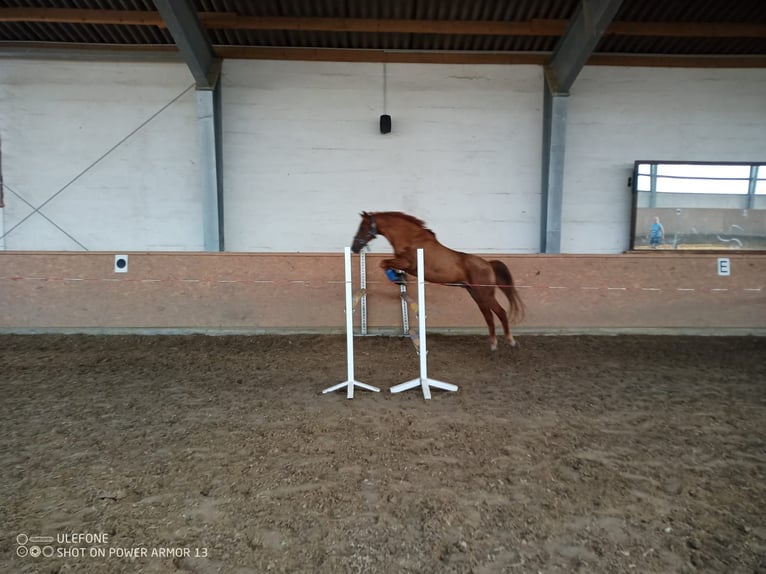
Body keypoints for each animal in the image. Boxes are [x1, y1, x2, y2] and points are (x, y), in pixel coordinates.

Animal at [352, 212, 520, 352]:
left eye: (362, 227)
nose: (354, 248)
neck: (409, 237)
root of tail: (488, 264)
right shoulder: (403, 264)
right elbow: (386, 264)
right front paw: (399, 278)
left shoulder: (407, 263)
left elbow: (383, 263)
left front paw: (397, 278)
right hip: (476, 295)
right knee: (488, 316)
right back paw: (493, 344)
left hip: (485, 294)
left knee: (501, 312)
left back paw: (511, 340)